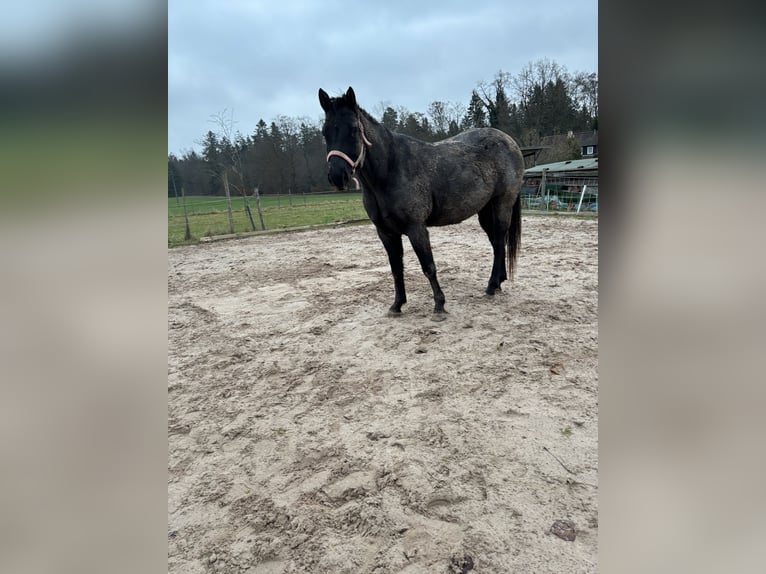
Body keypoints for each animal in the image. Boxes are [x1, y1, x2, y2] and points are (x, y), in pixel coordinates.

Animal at [318, 86, 524, 321]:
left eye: (353, 129)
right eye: (325, 132)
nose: (337, 176)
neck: (390, 169)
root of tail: (509, 142)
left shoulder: (416, 228)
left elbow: (428, 266)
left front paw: (439, 306)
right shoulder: (386, 232)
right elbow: (396, 269)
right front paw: (397, 305)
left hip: (502, 205)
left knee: (499, 242)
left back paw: (490, 287)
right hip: (485, 211)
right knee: (497, 243)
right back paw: (498, 282)